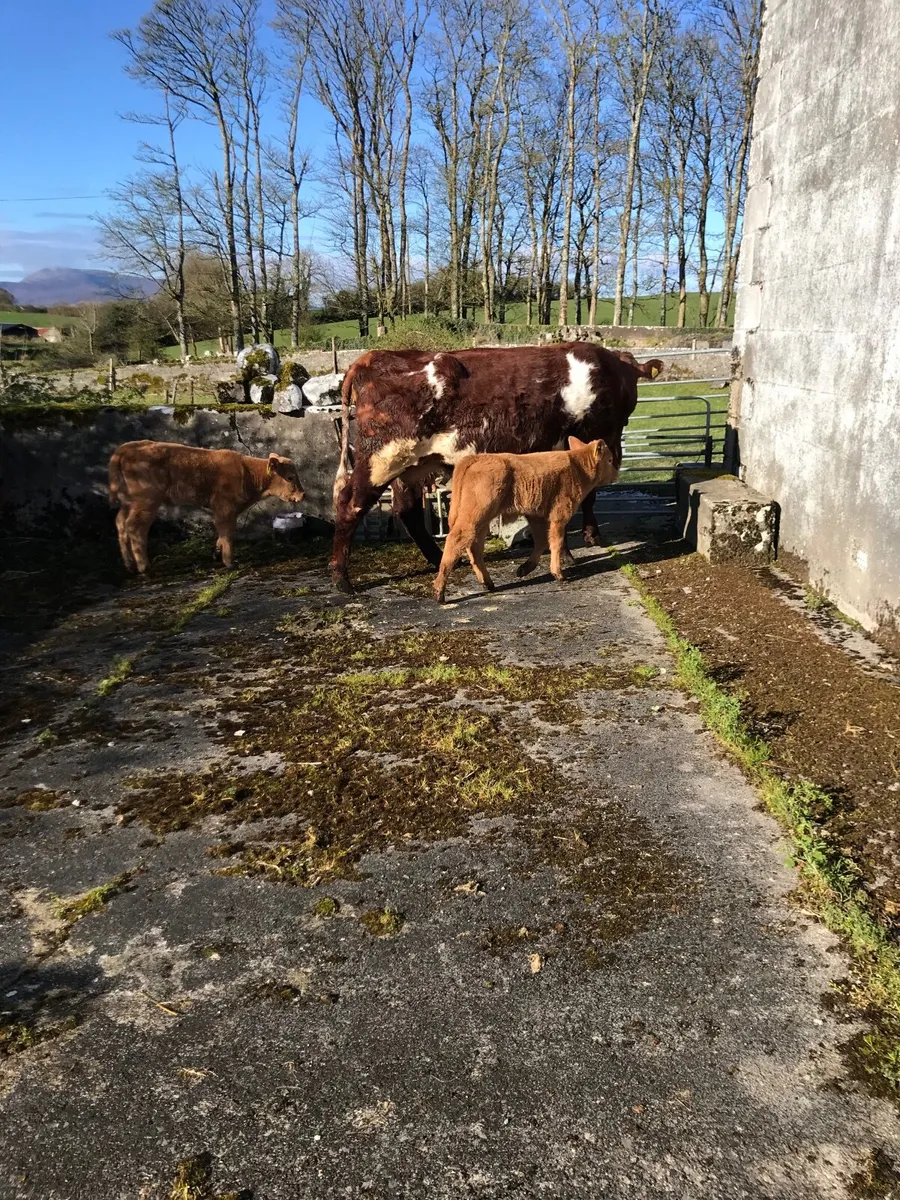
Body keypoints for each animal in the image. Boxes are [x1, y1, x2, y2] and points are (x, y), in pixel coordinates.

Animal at [108, 441, 305, 573]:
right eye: (290, 477)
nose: (302, 495)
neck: (248, 472)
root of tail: (127, 447)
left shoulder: (222, 511)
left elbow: (222, 533)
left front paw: (217, 554)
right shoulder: (225, 508)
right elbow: (228, 533)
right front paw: (229, 562)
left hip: (128, 502)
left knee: (120, 523)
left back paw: (129, 565)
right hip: (146, 502)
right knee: (136, 527)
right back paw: (143, 566)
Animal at [433, 437, 619, 604]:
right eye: (609, 459)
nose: (616, 475)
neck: (578, 467)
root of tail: (475, 458)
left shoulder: (536, 516)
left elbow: (542, 541)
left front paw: (524, 569)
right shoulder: (559, 516)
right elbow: (556, 542)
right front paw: (558, 574)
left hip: (481, 519)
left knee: (475, 546)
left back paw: (488, 583)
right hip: (475, 515)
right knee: (457, 539)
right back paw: (440, 591)